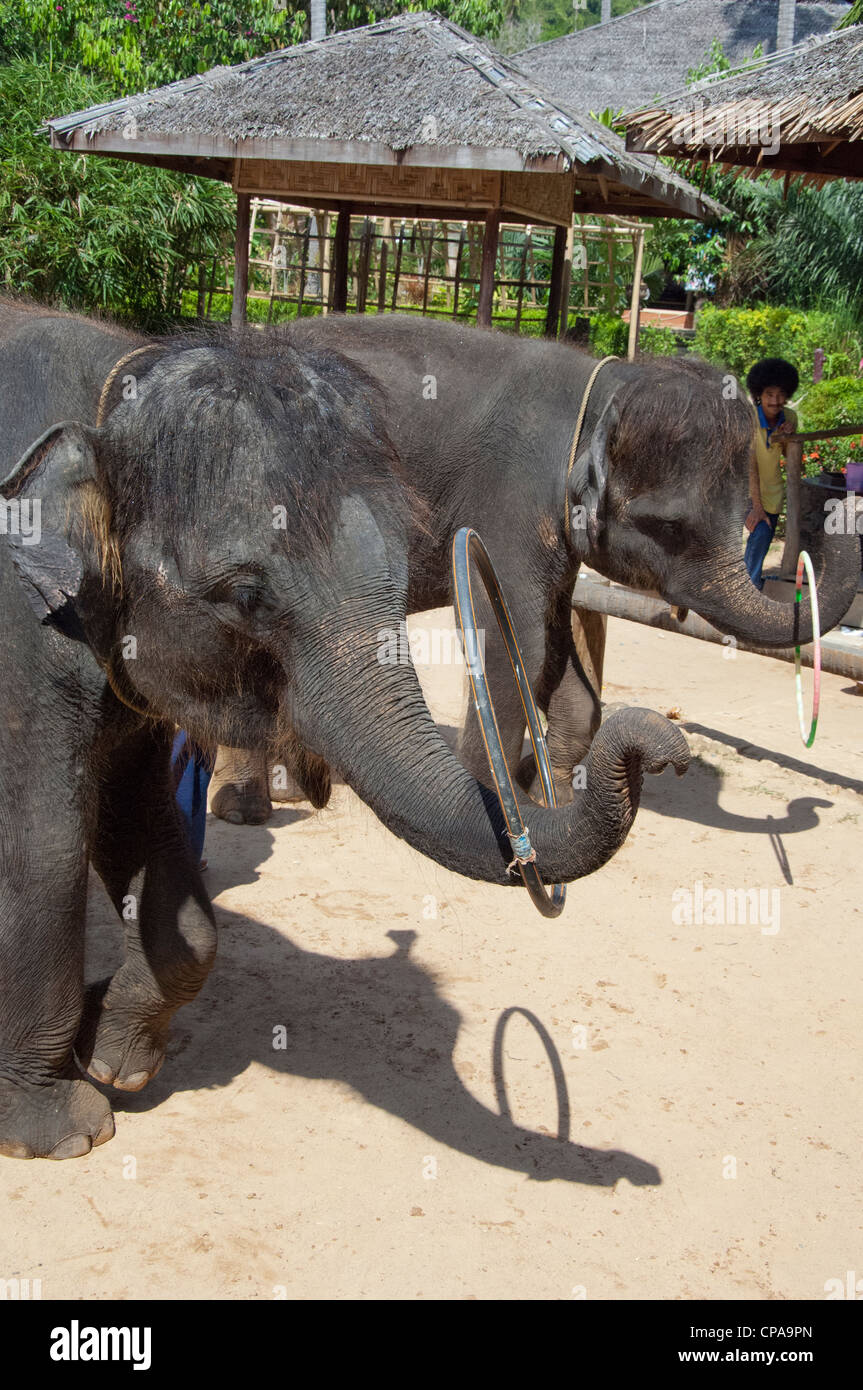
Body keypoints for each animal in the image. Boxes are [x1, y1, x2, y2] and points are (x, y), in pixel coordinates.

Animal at [0, 307, 686, 1162]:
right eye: (247, 597)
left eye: (400, 570)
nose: (666, 746)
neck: (109, 402)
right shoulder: (19, 642)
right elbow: (46, 845)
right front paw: (65, 1133)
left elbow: (146, 833)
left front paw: (114, 1058)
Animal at [212, 315, 856, 822]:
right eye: (671, 527)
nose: (840, 504)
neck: (600, 393)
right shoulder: (508, 497)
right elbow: (510, 636)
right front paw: (497, 803)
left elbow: (553, 637)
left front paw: (554, 794)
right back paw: (246, 808)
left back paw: (290, 791)